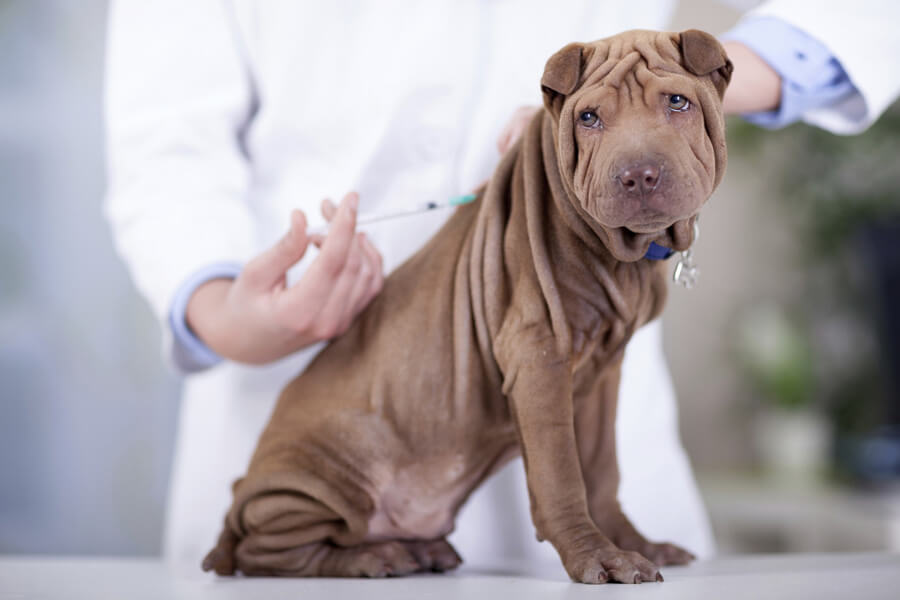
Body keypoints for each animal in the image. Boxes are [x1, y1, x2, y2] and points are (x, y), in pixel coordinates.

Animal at [202, 28, 732, 580]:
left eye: (677, 102)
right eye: (589, 118)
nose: (638, 175)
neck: (623, 255)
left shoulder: (603, 375)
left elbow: (602, 470)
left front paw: (636, 543)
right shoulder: (538, 356)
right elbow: (562, 475)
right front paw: (597, 556)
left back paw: (419, 549)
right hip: (319, 479)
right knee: (268, 551)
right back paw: (373, 556)